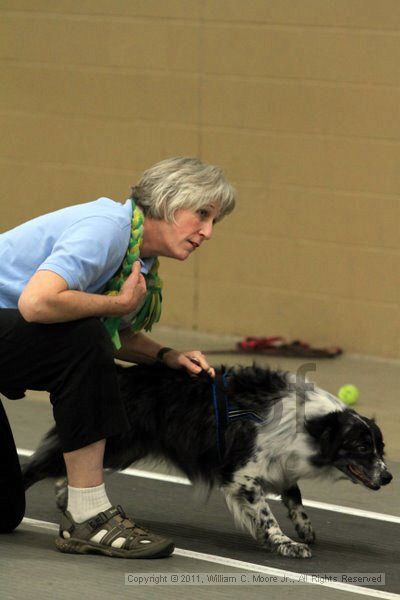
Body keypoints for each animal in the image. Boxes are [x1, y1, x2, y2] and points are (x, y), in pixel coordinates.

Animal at [21, 364, 390, 560]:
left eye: (380, 447)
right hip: (119, 443)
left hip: (122, 449)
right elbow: (266, 515)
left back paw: (65, 498)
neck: (308, 423)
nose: (388, 478)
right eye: (362, 447)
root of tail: (119, 374)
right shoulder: (241, 475)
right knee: (40, 464)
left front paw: (304, 527)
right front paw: (286, 543)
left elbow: (294, 495)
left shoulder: (278, 464)